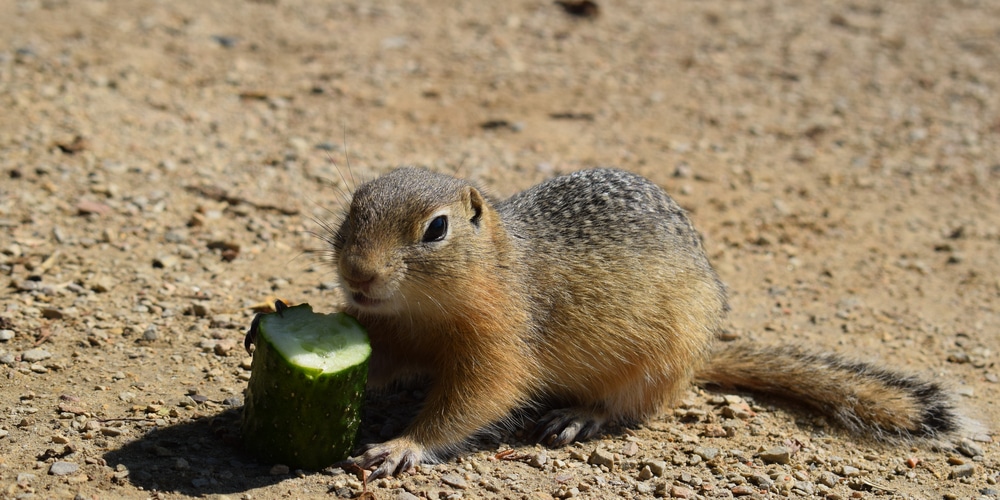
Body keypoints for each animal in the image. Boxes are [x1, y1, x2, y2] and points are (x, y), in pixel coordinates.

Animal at [328, 167, 960, 476]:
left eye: (436, 229)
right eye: (353, 209)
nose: (358, 274)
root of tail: (704, 358)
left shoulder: (500, 345)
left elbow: (476, 401)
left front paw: (402, 445)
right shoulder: (389, 333)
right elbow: (383, 362)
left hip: (654, 367)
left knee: (629, 406)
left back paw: (579, 416)